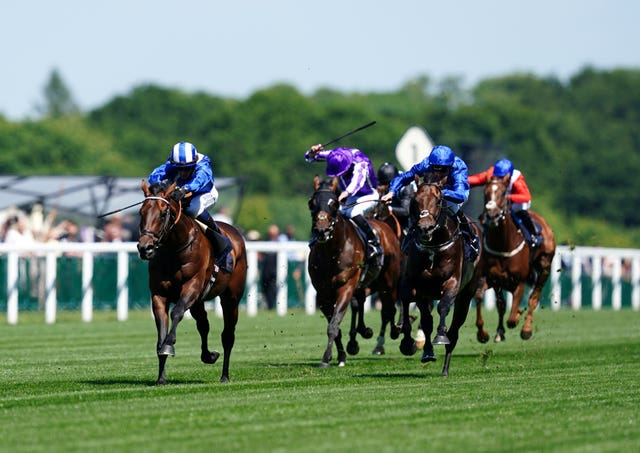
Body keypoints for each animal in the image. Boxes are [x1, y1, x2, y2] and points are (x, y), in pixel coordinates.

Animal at [138, 178, 248, 384]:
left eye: (163, 214)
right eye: (141, 212)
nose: (145, 248)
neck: (173, 250)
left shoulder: (192, 286)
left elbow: (177, 313)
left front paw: (169, 345)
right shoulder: (159, 294)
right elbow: (161, 330)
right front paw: (161, 378)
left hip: (231, 298)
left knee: (228, 335)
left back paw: (225, 375)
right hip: (198, 302)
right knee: (204, 325)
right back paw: (209, 356)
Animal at [306, 175, 400, 366]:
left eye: (334, 203)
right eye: (311, 203)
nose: (321, 231)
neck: (332, 253)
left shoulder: (346, 287)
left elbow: (333, 325)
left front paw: (326, 358)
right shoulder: (322, 293)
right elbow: (335, 326)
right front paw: (340, 356)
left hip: (389, 281)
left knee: (390, 308)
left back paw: (402, 337)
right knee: (362, 302)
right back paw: (360, 335)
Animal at [398, 175, 482, 376]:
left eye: (438, 200)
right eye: (415, 200)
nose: (425, 228)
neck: (434, 247)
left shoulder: (452, 282)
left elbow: (443, 307)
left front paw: (441, 336)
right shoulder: (419, 287)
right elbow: (426, 321)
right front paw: (425, 351)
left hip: (466, 295)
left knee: (455, 330)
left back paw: (445, 368)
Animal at [472, 175, 556, 340]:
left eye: (503, 193)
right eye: (485, 192)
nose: (491, 214)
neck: (503, 244)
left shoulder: (520, 282)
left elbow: (512, 318)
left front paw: (517, 316)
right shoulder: (493, 279)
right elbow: (483, 298)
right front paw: (484, 333)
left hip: (545, 267)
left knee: (534, 298)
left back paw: (526, 328)